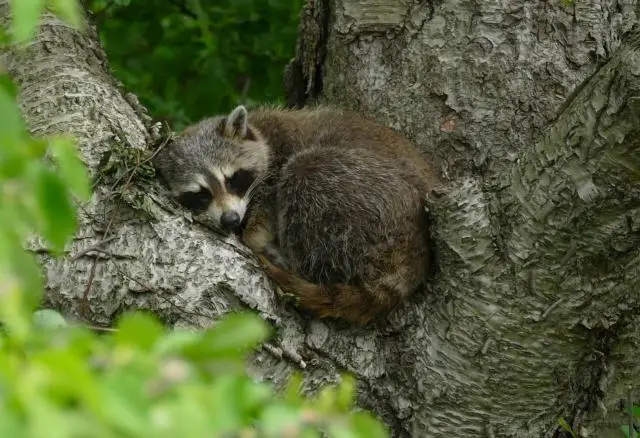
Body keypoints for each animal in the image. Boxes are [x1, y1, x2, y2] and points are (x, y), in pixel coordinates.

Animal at [152, 105, 440, 324]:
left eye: (232, 179)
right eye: (201, 194)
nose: (230, 220)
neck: (260, 131)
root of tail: (417, 253)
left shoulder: (280, 156)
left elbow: (269, 206)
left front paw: (254, 235)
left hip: (367, 194)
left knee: (305, 170)